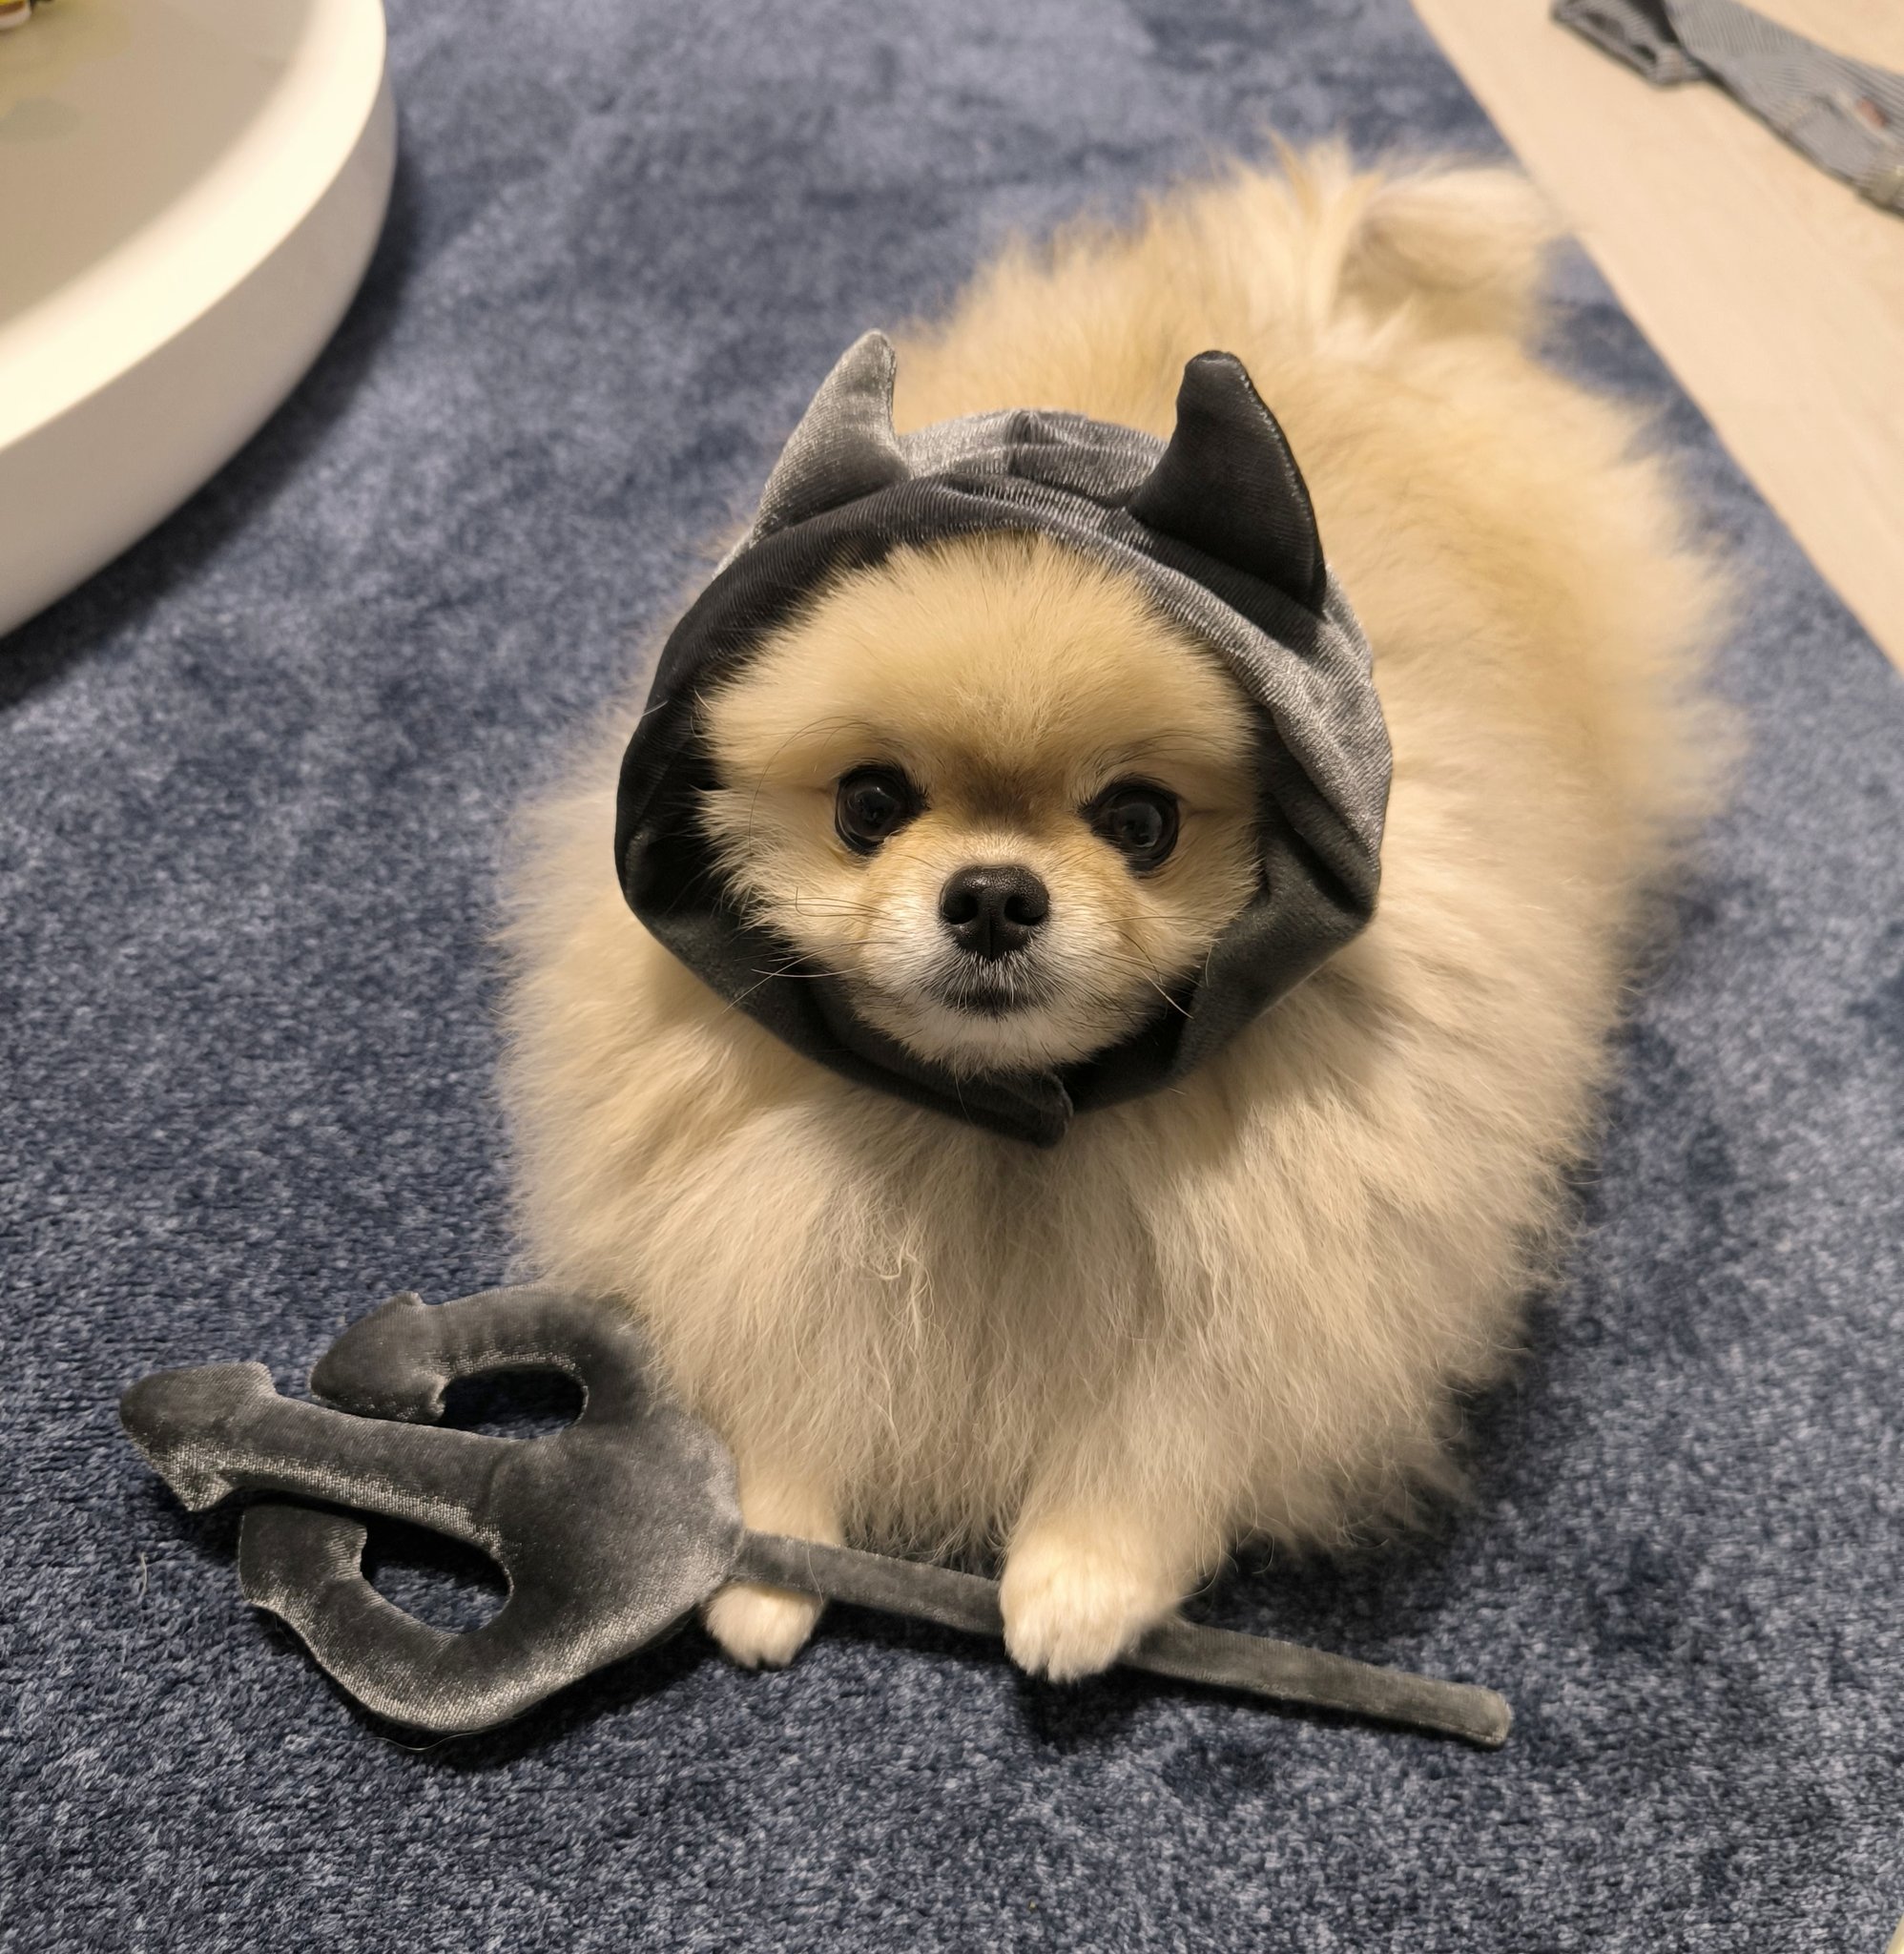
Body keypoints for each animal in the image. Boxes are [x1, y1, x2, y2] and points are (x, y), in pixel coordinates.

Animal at [501, 146, 1726, 1681]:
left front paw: (1078, 1580)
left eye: (1141, 823)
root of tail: (1332, 298)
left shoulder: (1273, 1290)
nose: (992, 894)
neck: (1009, 1132)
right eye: (868, 804)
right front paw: (765, 1547)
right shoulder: (758, 1227)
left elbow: (1170, 1440)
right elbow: (782, 1362)